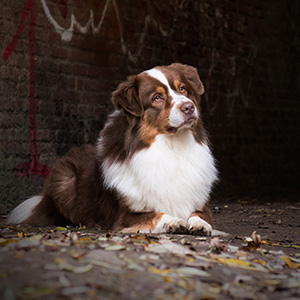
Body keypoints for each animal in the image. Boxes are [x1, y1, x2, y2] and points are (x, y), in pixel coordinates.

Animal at [7, 63, 218, 236]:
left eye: (182, 89)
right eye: (157, 98)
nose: (189, 107)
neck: (172, 147)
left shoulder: (202, 204)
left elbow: (199, 215)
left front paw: (199, 224)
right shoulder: (125, 215)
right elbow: (156, 214)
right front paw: (174, 221)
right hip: (64, 177)